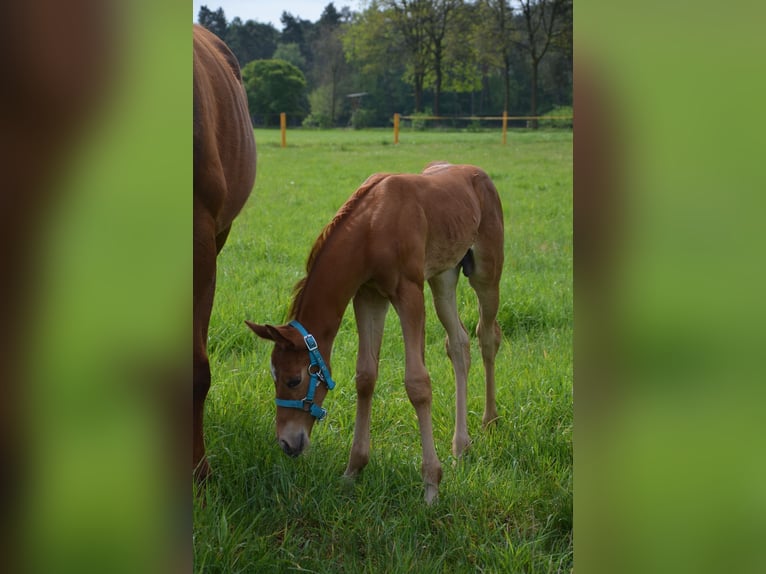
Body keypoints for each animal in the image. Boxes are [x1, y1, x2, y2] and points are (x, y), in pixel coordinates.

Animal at [247, 162, 504, 503]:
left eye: (293, 380)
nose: (287, 444)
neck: (372, 226)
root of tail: (479, 173)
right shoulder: (368, 295)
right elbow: (366, 376)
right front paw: (353, 470)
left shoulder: (409, 292)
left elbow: (417, 383)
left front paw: (431, 485)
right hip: (443, 276)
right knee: (459, 343)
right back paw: (461, 446)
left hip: (486, 271)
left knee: (487, 336)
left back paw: (490, 422)